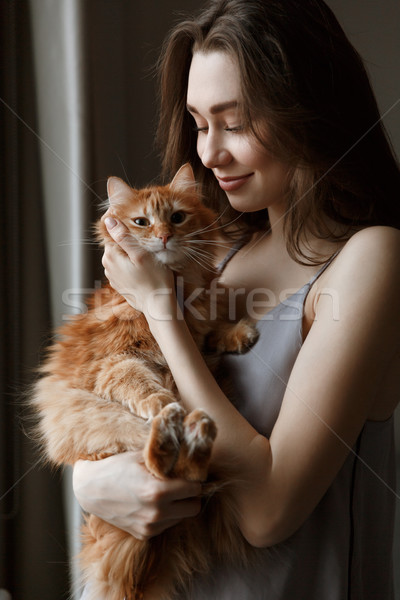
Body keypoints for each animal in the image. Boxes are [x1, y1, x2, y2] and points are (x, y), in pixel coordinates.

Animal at [30, 164, 256, 600]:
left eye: (177, 218)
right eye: (141, 222)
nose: (164, 236)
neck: (176, 295)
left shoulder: (198, 338)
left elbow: (211, 332)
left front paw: (240, 332)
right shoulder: (117, 363)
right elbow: (144, 387)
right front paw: (164, 402)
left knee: (191, 472)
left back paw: (192, 433)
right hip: (113, 435)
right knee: (166, 465)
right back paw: (175, 426)